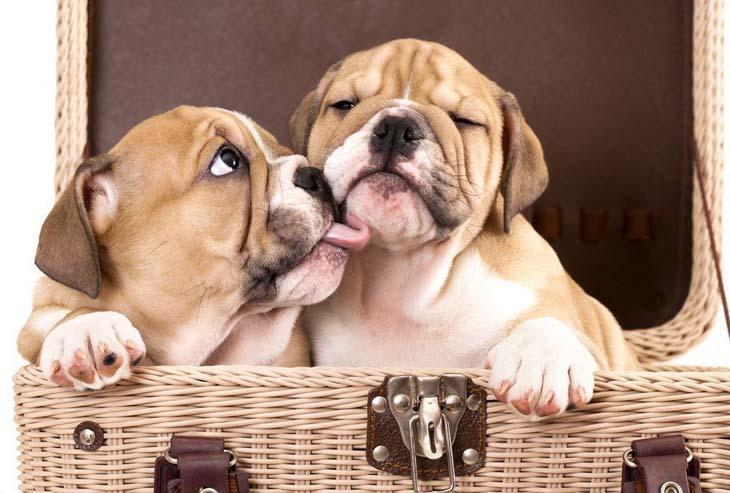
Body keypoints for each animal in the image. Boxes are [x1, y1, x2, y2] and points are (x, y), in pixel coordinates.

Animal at [18, 106, 356, 388]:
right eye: (228, 160)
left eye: (285, 151)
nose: (316, 174)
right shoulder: (42, 311)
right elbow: (51, 318)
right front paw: (86, 331)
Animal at [290, 40, 636, 418]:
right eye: (345, 105)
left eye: (465, 121)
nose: (397, 127)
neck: (403, 271)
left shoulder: (597, 347)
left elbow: (552, 324)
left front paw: (542, 356)